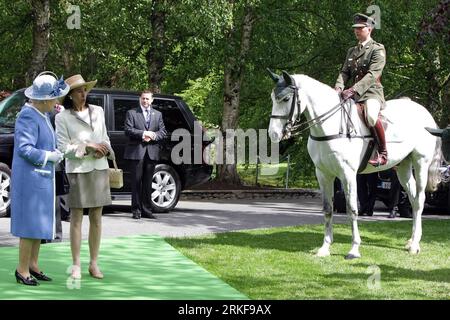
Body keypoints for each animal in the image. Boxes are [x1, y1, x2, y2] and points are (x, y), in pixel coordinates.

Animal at [268, 70, 442, 258]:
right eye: (272, 98)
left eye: (286, 99)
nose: (273, 134)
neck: (330, 127)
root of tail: (425, 113)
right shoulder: (323, 174)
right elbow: (328, 209)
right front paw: (325, 248)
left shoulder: (348, 174)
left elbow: (351, 209)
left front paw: (354, 249)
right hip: (403, 167)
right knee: (413, 198)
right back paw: (411, 241)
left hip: (421, 162)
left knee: (420, 200)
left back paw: (415, 244)